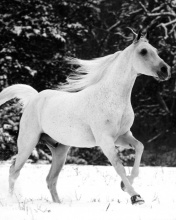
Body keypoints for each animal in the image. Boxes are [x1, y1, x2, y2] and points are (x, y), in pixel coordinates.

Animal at [0, 29, 170, 205]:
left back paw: (59, 204)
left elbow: (139, 147)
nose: (165, 70)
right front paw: (135, 197)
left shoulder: (122, 136)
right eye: (143, 51)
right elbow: (118, 166)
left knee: (50, 179)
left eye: (156, 50)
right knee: (14, 171)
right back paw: (12, 201)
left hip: (60, 150)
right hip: (28, 143)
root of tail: (34, 98)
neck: (112, 98)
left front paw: (125, 185)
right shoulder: (105, 140)